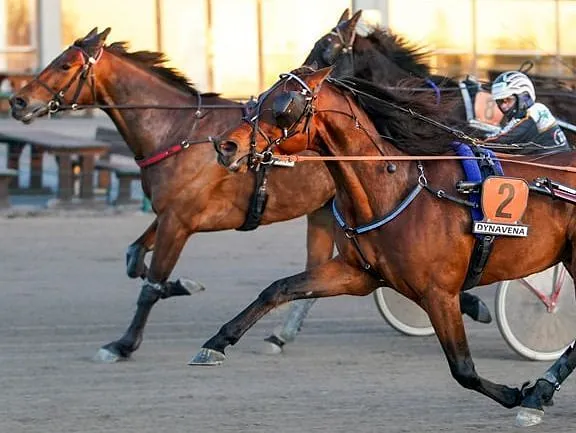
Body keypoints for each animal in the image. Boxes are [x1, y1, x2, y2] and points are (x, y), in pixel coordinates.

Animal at [10, 27, 338, 362]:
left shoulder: (178, 221)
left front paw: (124, 343)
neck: (179, 131)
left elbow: (150, 286)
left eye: (65, 65)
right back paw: (280, 336)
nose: (18, 101)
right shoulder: (167, 213)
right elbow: (135, 257)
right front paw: (182, 285)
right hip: (325, 210)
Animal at [209, 66, 576, 424]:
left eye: (283, 106)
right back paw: (542, 389)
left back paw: (539, 392)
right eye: (262, 97)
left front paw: (516, 395)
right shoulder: (358, 273)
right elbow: (278, 289)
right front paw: (216, 343)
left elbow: (462, 368)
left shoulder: (439, 292)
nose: (226, 146)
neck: (394, 189)